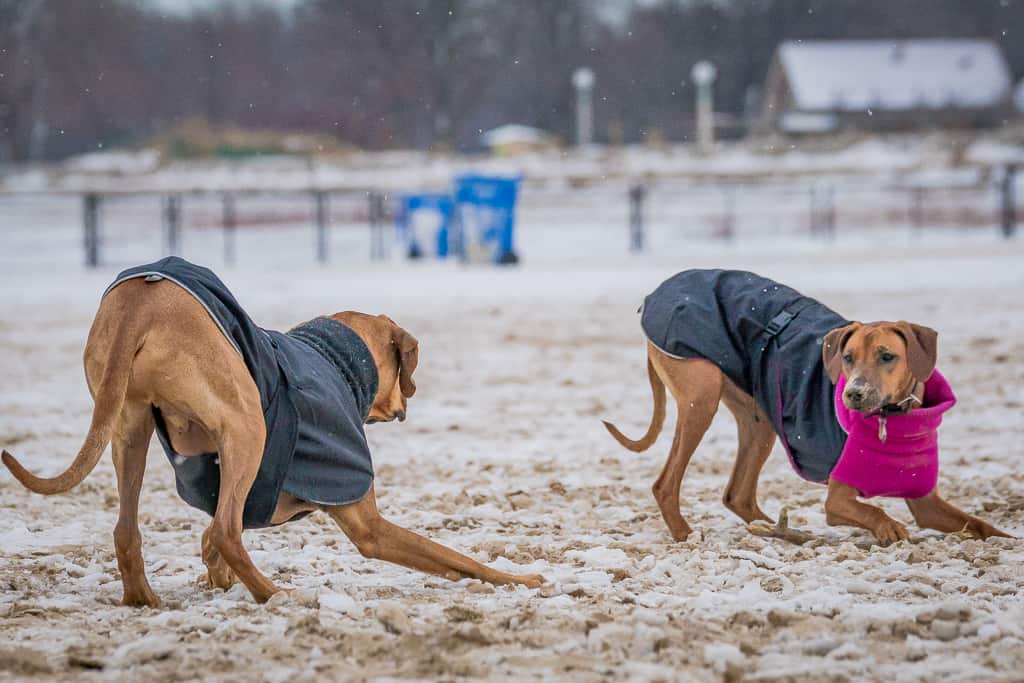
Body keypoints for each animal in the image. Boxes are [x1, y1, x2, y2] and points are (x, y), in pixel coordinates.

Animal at [2, 278, 544, 610]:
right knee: (226, 530)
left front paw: (216, 582)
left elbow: (207, 542)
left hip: (128, 426)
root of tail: (139, 299)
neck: (334, 361)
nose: (406, 402)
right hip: (247, 425)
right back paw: (274, 594)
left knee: (129, 529)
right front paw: (523, 581)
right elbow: (459, 559)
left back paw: (144, 599)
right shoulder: (367, 524)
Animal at [602, 270, 1003, 544]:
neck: (890, 419)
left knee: (737, 495)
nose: (853, 394)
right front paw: (891, 530)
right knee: (665, 484)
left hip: (760, 417)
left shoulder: (926, 502)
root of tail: (654, 294)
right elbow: (876, 512)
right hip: (700, 397)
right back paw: (688, 535)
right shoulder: (839, 498)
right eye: (847, 358)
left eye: (887, 356)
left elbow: (981, 526)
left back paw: (779, 530)